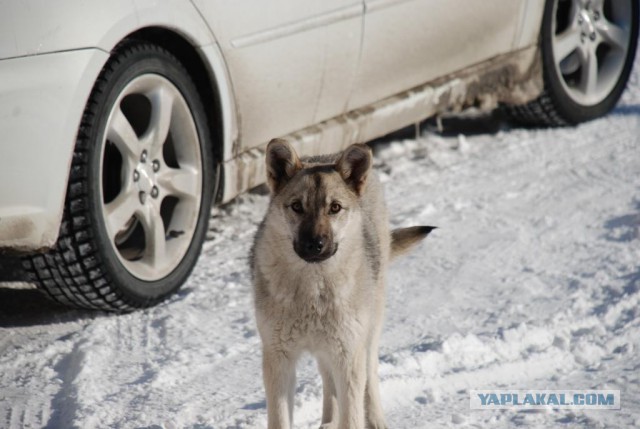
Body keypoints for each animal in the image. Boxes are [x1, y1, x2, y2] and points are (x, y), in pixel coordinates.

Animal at [251, 139, 436, 426]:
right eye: (297, 206)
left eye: (335, 207)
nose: (314, 245)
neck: (313, 290)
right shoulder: (278, 360)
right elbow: (280, 419)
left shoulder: (348, 357)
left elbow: (353, 414)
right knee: (328, 382)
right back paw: (327, 423)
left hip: (366, 337)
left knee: (369, 379)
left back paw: (375, 422)